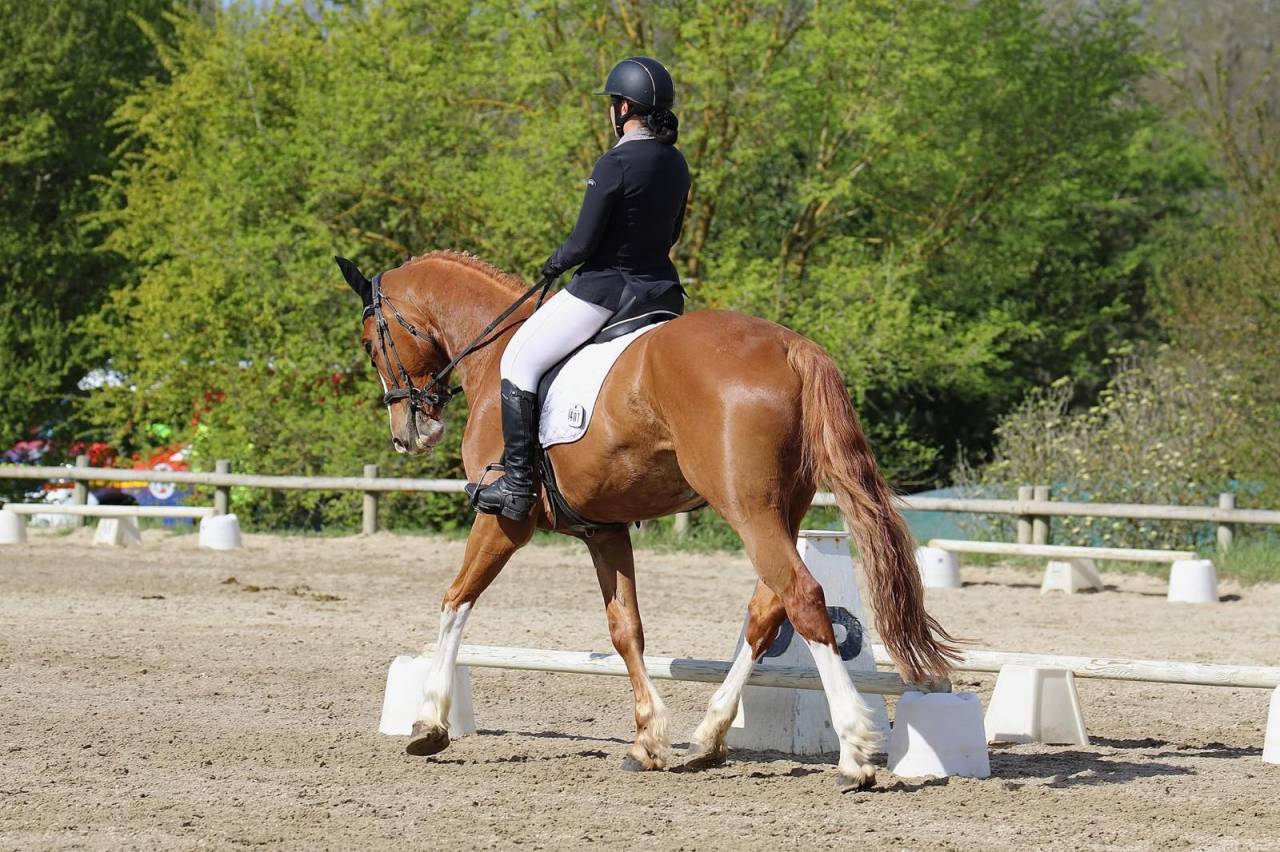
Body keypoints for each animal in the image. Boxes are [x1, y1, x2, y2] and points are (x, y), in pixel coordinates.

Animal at [337, 250, 957, 790]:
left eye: (369, 344)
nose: (408, 433)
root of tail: (790, 344)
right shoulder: (602, 529)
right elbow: (626, 629)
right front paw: (648, 740)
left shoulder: (504, 520)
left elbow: (455, 600)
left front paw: (429, 723)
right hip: (785, 507)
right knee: (767, 610)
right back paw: (709, 737)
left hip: (747, 507)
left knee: (801, 596)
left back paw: (855, 752)